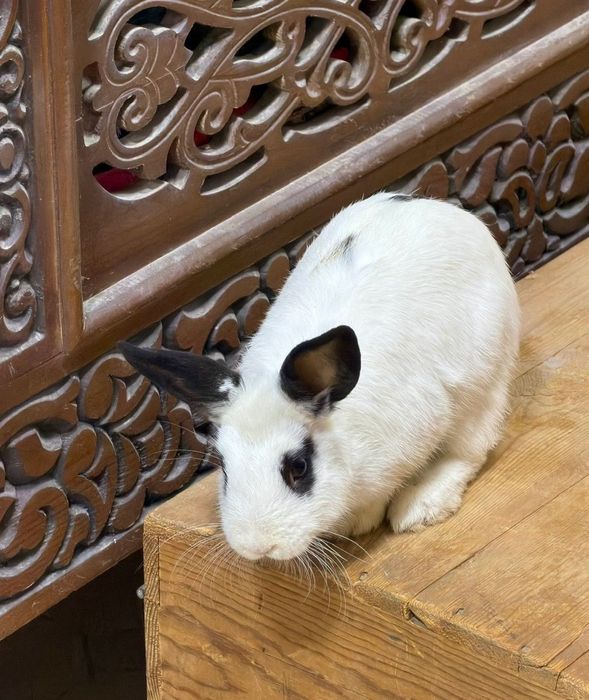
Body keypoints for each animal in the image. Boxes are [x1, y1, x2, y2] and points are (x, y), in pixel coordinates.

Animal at [120, 192, 520, 562]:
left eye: (298, 467)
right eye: (225, 468)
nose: (259, 546)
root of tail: (436, 206)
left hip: (482, 384)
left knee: (469, 447)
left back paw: (421, 507)